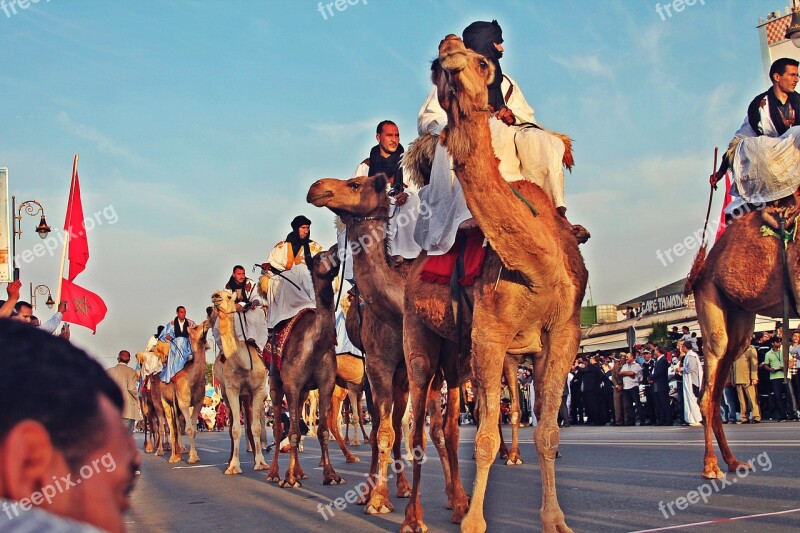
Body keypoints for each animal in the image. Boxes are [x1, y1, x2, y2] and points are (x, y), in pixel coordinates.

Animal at [159, 320, 208, 462]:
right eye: (196, 327)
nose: (206, 322)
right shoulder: (183, 403)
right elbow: (189, 429)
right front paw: (193, 457)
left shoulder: (198, 403)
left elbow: (193, 429)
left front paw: (193, 455)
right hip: (165, 401)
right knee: (171, 427)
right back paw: (172, 456)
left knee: (176, 426)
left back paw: (180, 451)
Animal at [211, 288, 270, 472]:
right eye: (217, 293)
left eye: (229, 296)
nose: (216, 296)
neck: (244, 363)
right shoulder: (231, 390)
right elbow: (235, 429)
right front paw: (233, 466)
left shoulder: (258, 389)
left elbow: (256, 427)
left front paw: (261, 463)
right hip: (229, 395)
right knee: (231, 425)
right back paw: (230, 459)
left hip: (248, 396)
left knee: (251, 423)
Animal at [264, 245, 346, 486]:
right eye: (319, 257)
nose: (338, 248)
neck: (316, 344)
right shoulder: (291, 384)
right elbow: (290, 432)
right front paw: (289, 479)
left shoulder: (326, 384)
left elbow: (322, 431)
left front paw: (331, 475)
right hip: (275, 382)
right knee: (279, 428)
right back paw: (275, 474)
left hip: (303, 392)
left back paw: (299, 472)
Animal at [396, 35, 588, 528]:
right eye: (436, 66)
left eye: (483, 63)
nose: (450, 61)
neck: (536, 267)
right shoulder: (489, 333)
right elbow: (484, 437)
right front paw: (474, 523)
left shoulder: (563, 332)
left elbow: (548, 432)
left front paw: (555, 520)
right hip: (418, 334)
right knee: (416, 425)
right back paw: (413, 516)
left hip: (454, 352)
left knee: (442, 422)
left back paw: (451, 501)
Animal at [684, 184, 800, 478]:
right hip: (710, 298)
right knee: (707, 392)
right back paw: (711, 467)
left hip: (741, 321)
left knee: (716, 392)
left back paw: (733, 462)